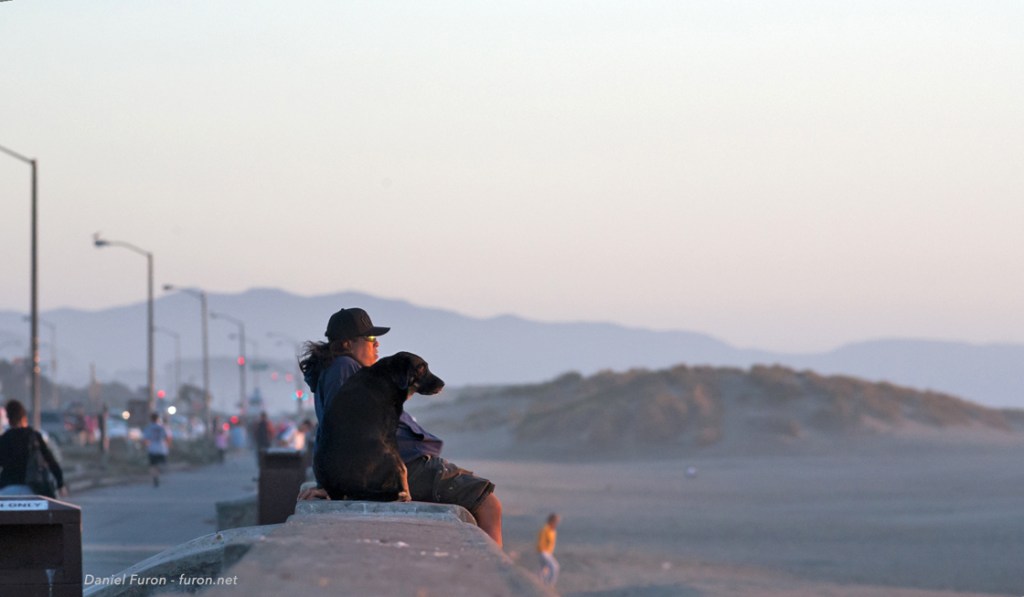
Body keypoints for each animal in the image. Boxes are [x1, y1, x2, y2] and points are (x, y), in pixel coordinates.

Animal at [314, 351, 444, 502]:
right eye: (421, 368)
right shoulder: (389, 435)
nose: (443, 384)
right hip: (386, 451)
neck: (389, 378)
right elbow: (403, 468)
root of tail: (351, 486)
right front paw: (406, 492)